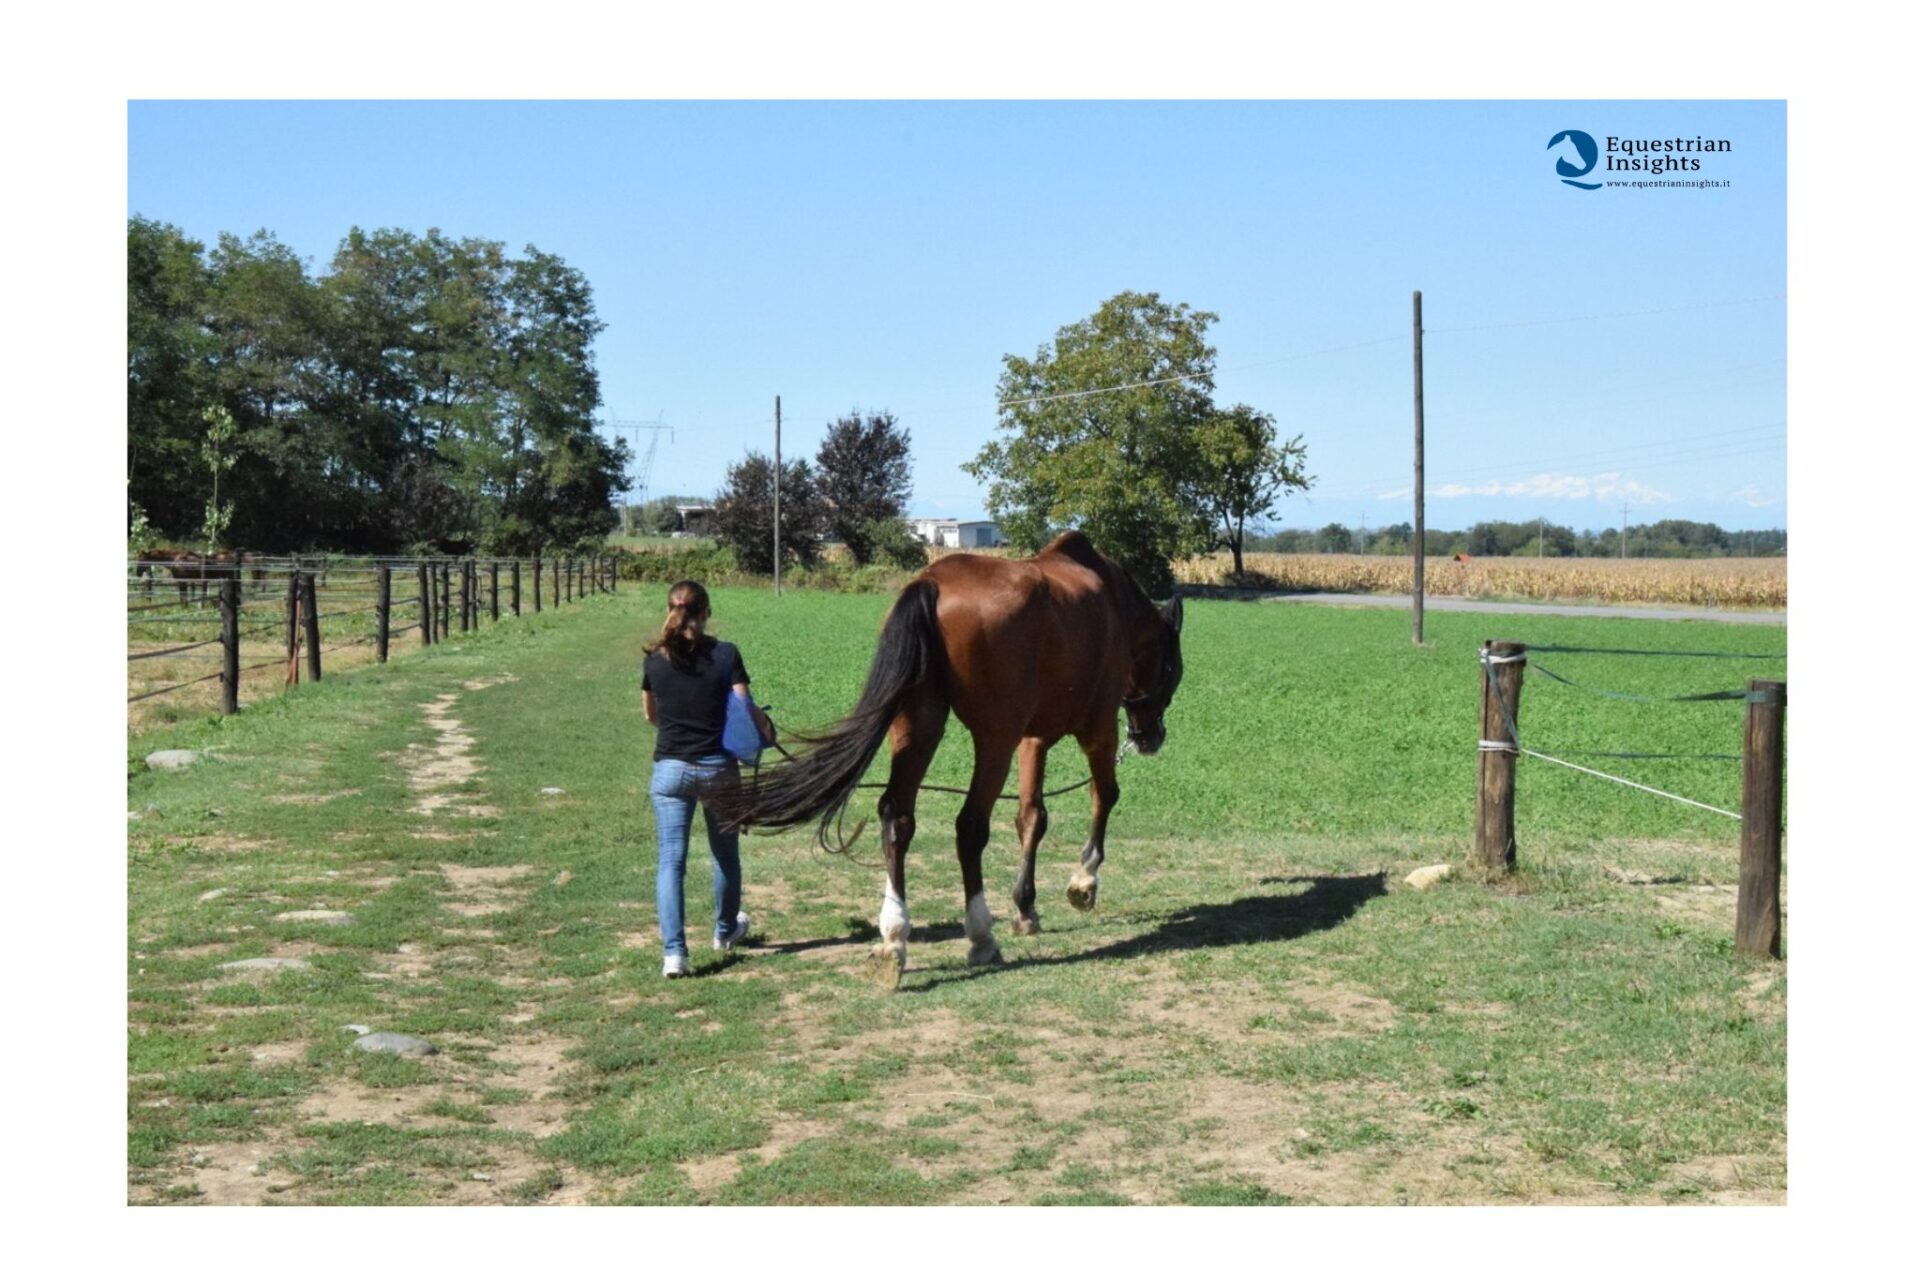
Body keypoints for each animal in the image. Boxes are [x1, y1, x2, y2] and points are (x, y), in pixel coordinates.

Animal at [713, 530, 1185, 987]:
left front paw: (1026, 908)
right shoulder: (1096, 728)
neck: (1112, 600)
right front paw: (1084, 882)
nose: (1152, 737)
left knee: (897, 816)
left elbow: (1032, 816)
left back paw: (893, 939)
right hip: (993, 738)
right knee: (970, 825)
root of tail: (932, 583)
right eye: (1173, 667)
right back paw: (980, 937)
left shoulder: (1032, 739)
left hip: (917, 725)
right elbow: (1103, 795)